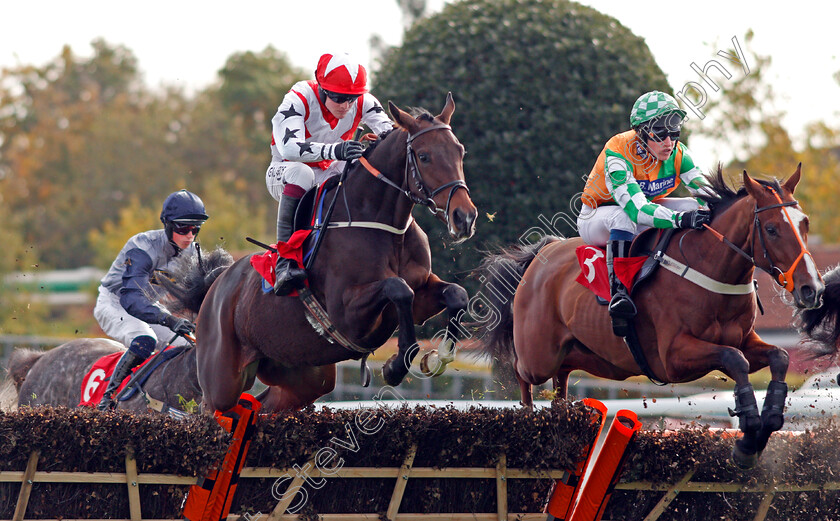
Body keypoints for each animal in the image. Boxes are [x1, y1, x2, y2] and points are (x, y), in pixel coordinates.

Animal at [164, 94, 476, 414]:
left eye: (460, 151)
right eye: (424, 156)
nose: (464, 217)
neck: (383, 226)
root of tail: (214, 287)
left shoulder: (419, 298)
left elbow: (456, 295)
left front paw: (438, 357)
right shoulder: (348, 315)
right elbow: (398, 288)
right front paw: (395, 366)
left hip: (302, 375)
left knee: (261, 405)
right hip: (221, 381)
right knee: (210, 407)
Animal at [476, 167, 824, 468]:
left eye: (806, 223)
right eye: (772, 229)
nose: (812, 288)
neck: (709, 269)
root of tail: (541, 254)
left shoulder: (745, 340)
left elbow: (778, 357)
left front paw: (763, 429)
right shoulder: (672, 357)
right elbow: (734, 359)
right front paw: (748, 435)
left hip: (586, 354)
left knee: (561, 380)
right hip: (538, 355)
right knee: (522, 372)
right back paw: (528, 420)